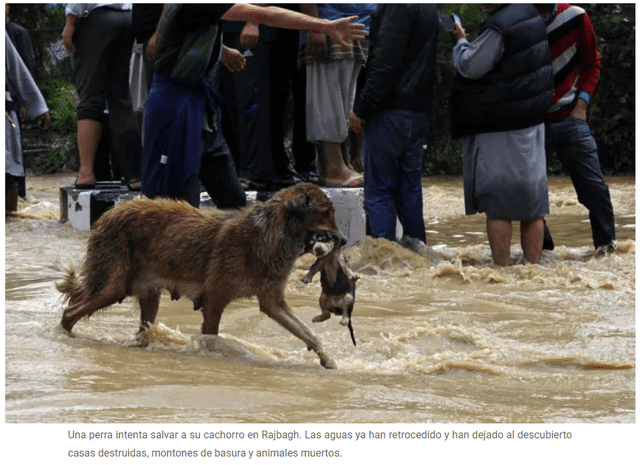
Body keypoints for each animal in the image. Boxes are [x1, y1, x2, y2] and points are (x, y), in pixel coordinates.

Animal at [56, 183, 344, 368]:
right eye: (326, 213)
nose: (343, 239)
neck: (272, 233)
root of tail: (107, 215)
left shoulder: (273, 302)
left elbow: (307, 332)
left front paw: (326, 358)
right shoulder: (214, 299)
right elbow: (211, 337)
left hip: (148, 295)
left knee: (142, 330)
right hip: (114, 287)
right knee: (69, 313)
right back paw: (65, 339)